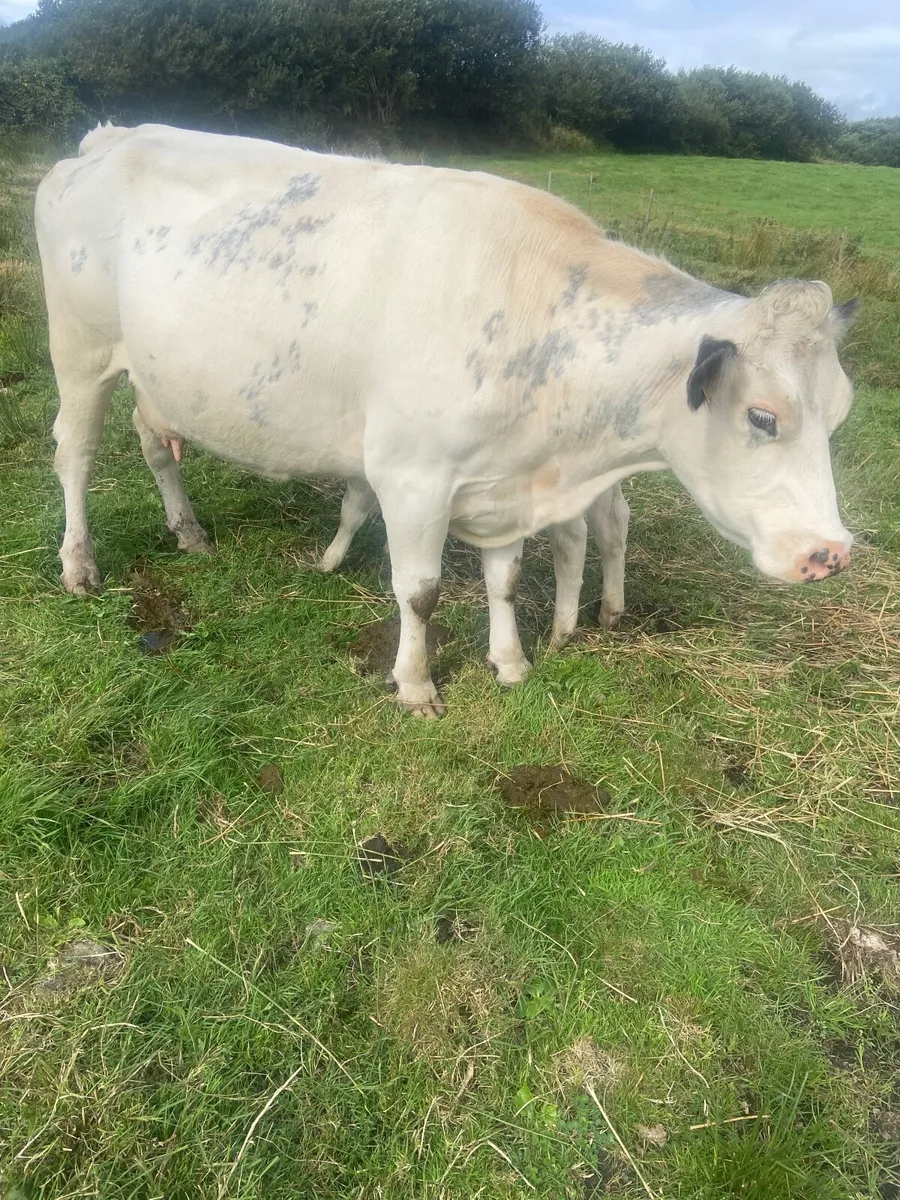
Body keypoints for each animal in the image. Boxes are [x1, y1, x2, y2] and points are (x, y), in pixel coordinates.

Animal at [35, 123, 858, 717]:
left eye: (840, 411)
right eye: (763, 415)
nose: (831, 554)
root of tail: (112, 136)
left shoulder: (502, 482)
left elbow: (506, 576)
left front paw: (511, 661)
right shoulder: (413, 476)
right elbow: (420, 590)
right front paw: (416, 684)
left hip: (154, 372)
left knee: (155, 443)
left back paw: (188, 531)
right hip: (79, 351)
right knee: (74, 453)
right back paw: (79, 564)